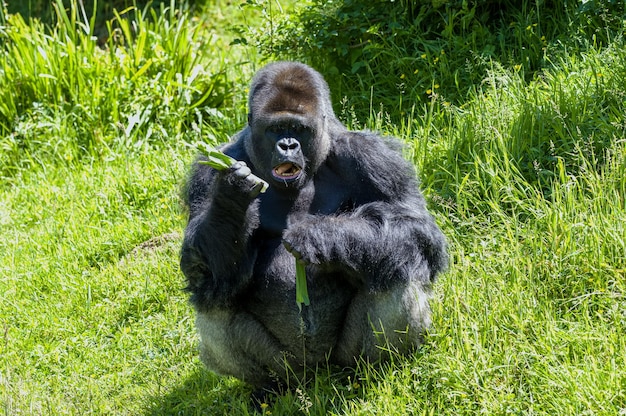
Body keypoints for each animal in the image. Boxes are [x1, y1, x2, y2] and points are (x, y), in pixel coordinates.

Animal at [178, 61, 446, 396]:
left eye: (299, 130)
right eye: (276, 129)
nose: (288, 145)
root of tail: (318, 376)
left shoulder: (373, 155)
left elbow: (414, 227)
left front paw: (319, 237)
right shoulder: (208, 169)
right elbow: (201, 266)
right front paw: (231, 196)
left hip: (340, 360)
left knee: (396, 265)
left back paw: (376, 370)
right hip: (290, 368)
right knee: (215, 298)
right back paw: (268, 389)